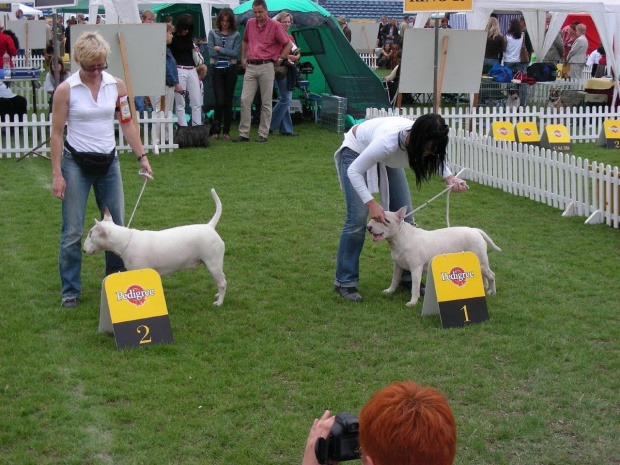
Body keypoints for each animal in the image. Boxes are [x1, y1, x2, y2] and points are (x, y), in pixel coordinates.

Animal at [83, 188, 225, 304]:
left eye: (90, 235)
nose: (83, 250)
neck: (125, 241)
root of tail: (209, 226)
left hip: (213, 262)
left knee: (222, 282)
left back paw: (219, 302)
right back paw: (218, 295)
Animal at [366, 206, 502, 306]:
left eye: (386, 220)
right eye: (374, 218)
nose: (368, 227)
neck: (401, 237)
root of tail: (475, 230)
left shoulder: (416, 269)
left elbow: (415, 287)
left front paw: (412, 302)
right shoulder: (397, 266)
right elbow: (394, 279)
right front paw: (389, 291)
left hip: (481, 261)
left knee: (491, 275)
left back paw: (492, 291)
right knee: (484, 275)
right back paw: (484, 286)